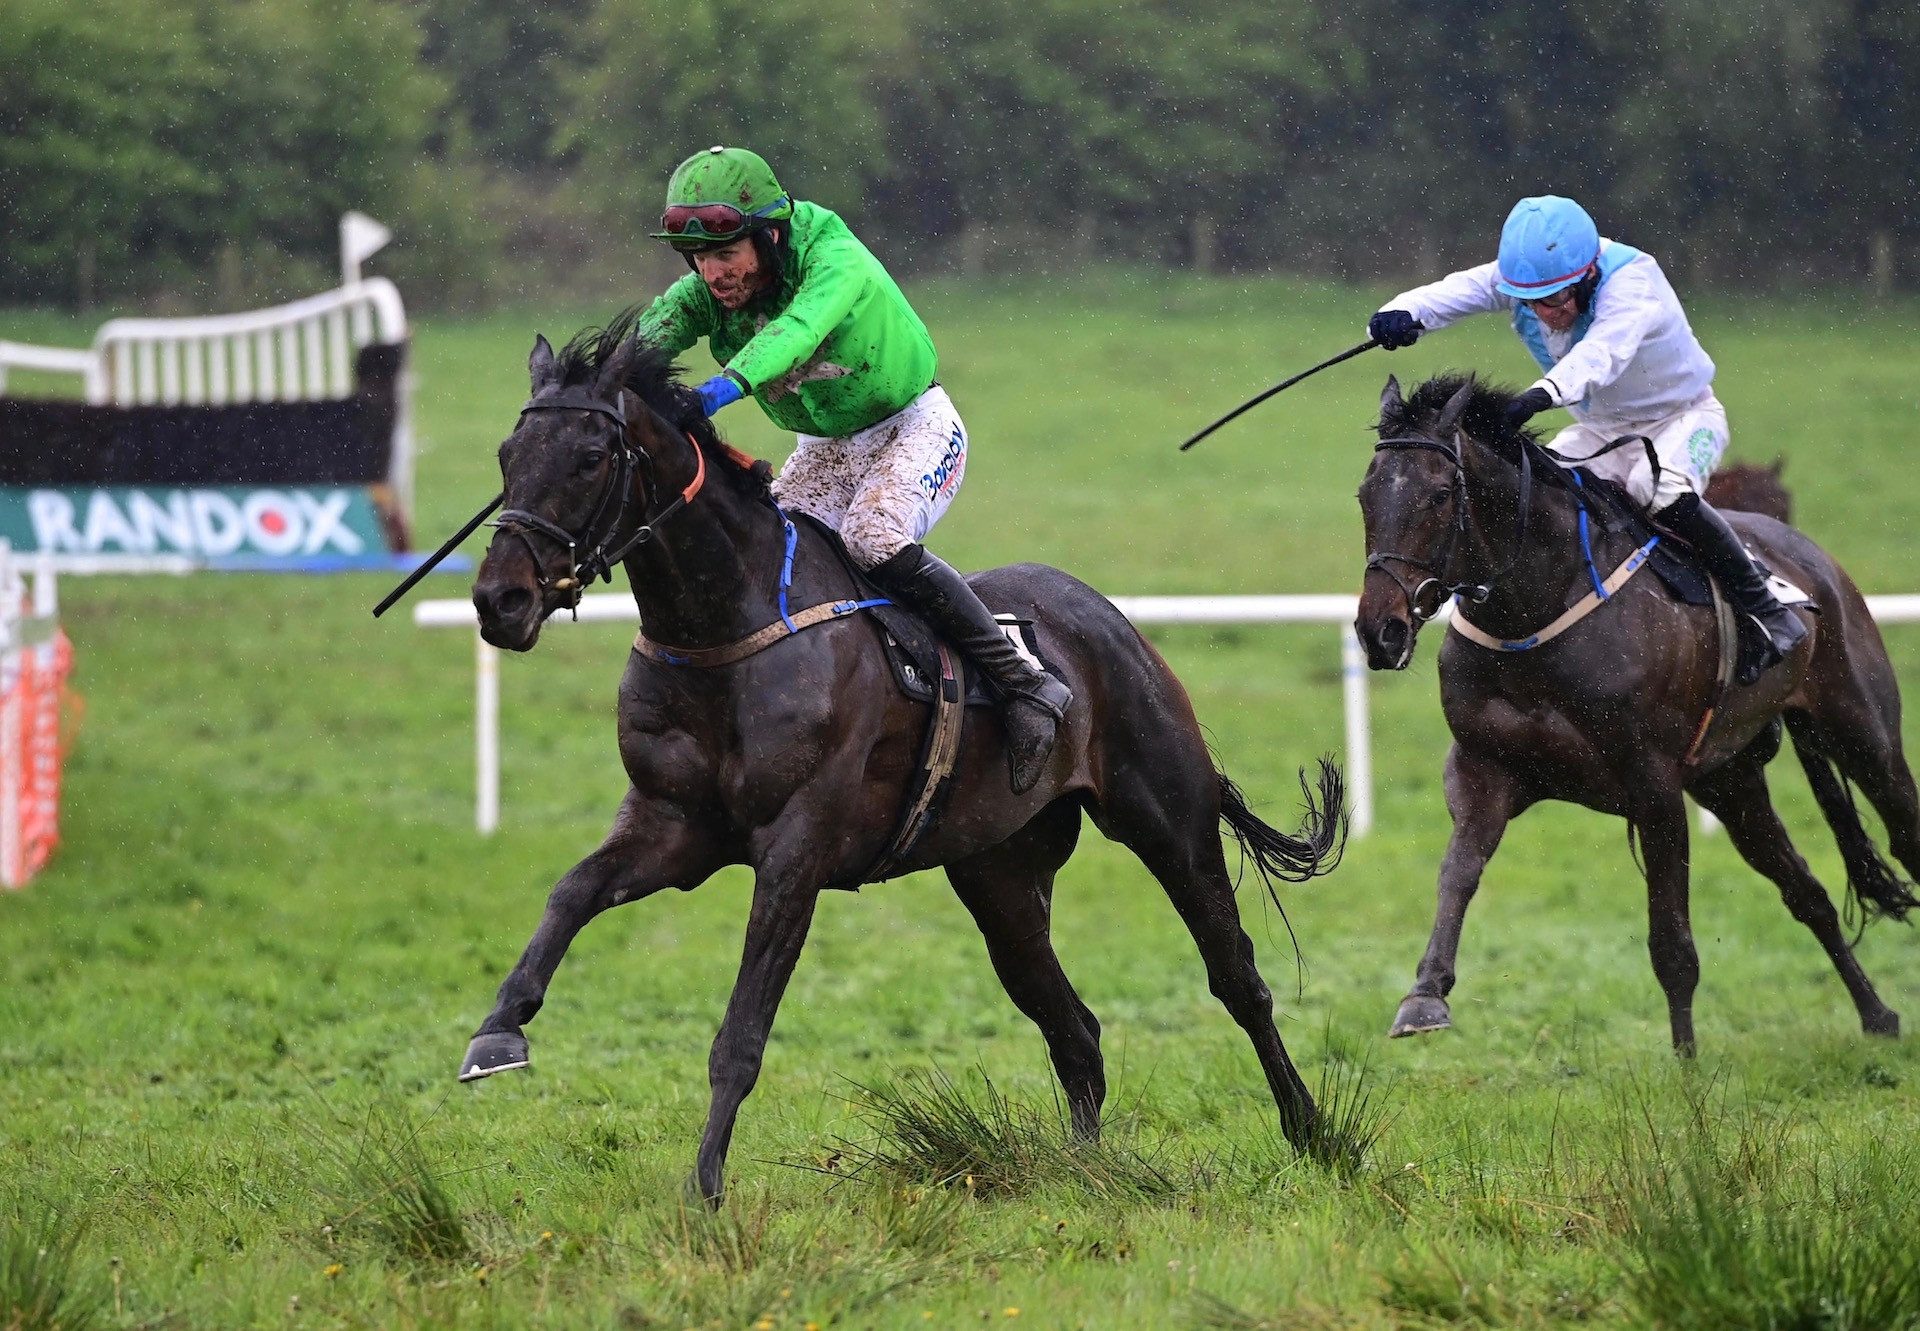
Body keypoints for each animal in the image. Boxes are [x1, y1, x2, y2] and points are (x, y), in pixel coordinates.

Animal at [456, 316, 1344, 1198]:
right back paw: (1081, 1169)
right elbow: (571, 893)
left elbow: (741, 1034)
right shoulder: (673, 826)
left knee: (1237, 978)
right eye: (506, 455)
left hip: (1167, 817)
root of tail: (1109, 619)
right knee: (1075, 1027)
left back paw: (1315, 1134)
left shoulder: (796, 849)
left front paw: (705, 1187)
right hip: (1000, 875)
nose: (500, 599)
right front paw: (497, 1032)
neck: (726, 630)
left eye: (589, 457)